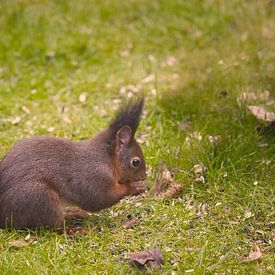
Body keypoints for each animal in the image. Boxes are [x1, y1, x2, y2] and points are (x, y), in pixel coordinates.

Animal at [0, 98, 148, 230]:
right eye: (135, 162)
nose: (144, 176)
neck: (105, 159)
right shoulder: (94, 177)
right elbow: (100, 199)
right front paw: (133, 187)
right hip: (40, 199)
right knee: (54, 227)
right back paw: (74, 230)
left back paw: (74, 215)